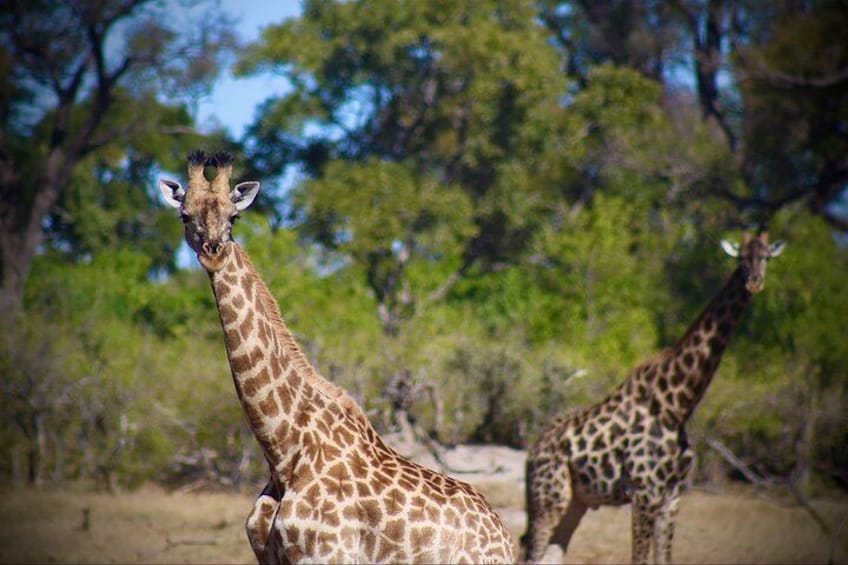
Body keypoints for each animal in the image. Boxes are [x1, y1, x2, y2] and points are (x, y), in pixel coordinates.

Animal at [159, 151, 515, 564]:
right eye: (185, 215)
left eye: (234, 217)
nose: (213, 253)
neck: (284, 453)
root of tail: (504, 535)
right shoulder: (269, 557)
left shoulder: (328, 554)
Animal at [520, 229, 785, 564]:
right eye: (741, 258)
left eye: (766, 257)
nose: (754, 282)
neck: (678, 405)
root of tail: (532, 452)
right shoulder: (644, 492)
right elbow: (639, 558)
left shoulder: (672, 496)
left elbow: (664, 559)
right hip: (548, 499)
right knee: (530, 553)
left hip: (575, 502)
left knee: (551, 555)